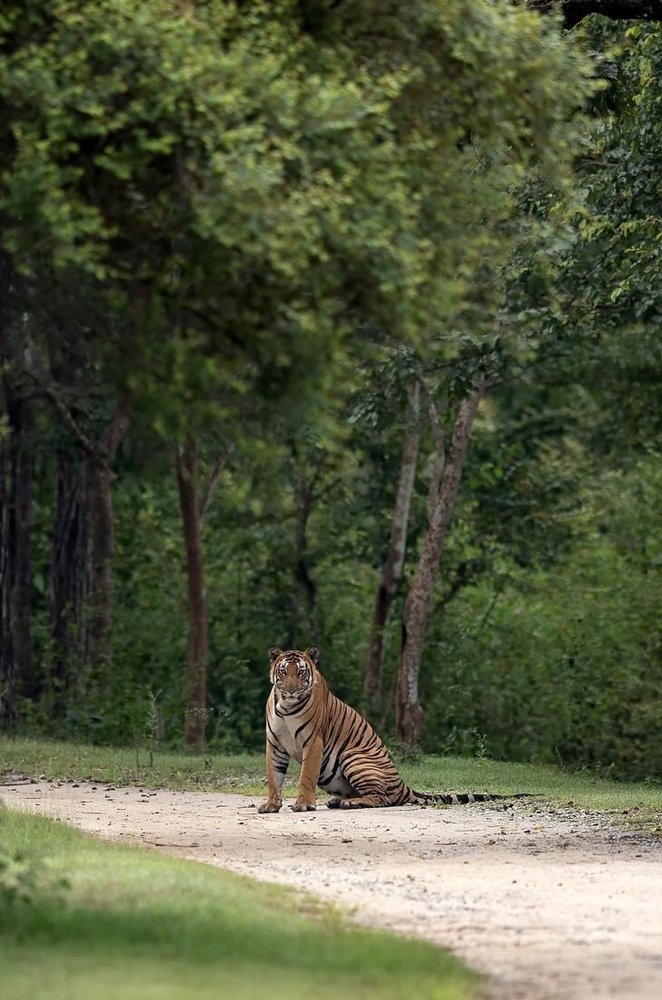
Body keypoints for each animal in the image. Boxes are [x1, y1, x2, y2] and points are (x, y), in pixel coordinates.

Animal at [258, 646, 518, 812]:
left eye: (301, 672)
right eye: (284, 671)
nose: (291, 690)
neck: (286, 705)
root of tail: (404, 784)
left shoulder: (313, 742)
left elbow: (306, 776)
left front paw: (303, 804)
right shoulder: (275, 744)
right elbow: (274, 776)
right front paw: (271, 805)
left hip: (353, 756)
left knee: (384, 798)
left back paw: (350, 802)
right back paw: (339, 801)